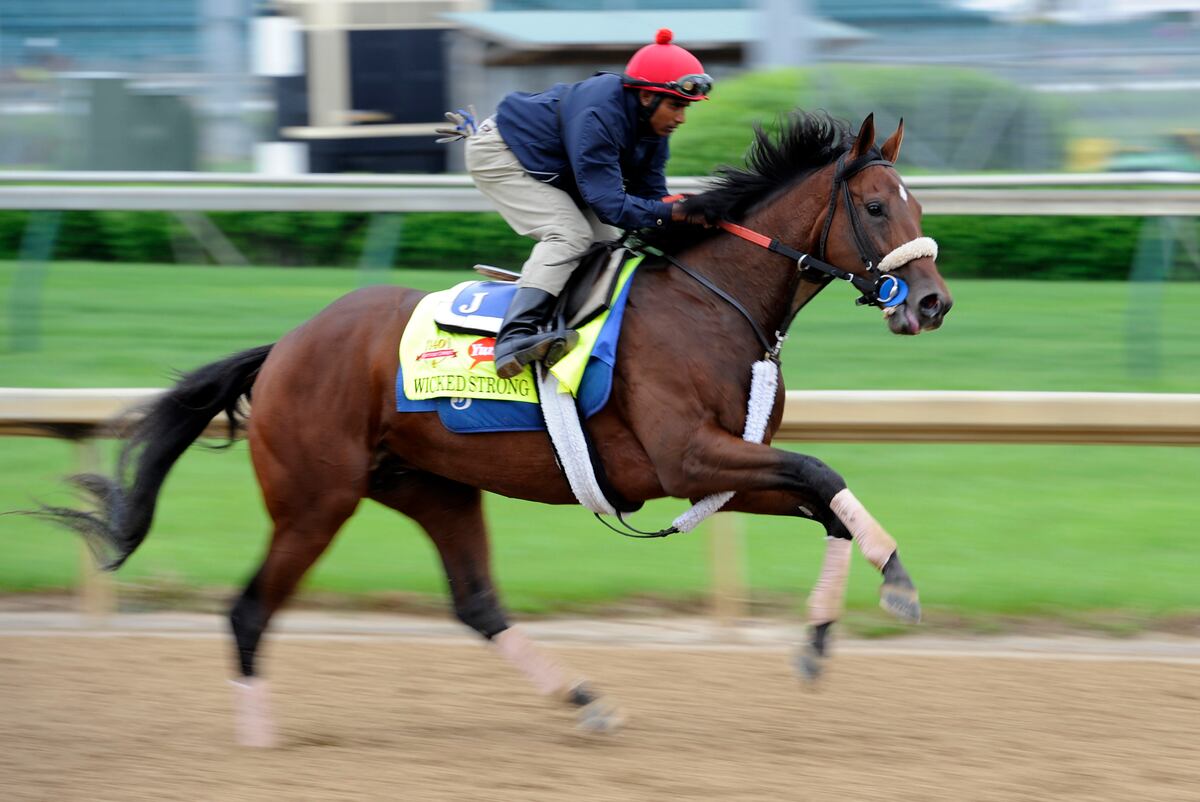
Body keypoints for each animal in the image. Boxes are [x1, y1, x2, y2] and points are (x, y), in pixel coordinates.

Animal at [37, 111, 952, 745]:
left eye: (916, 204)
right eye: (877, 206)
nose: (935, 301)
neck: (709, 301)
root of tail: (287, 345)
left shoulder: (725, 472)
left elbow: (824, 496)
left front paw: (824, 635)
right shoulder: (688, 460)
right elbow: (824, 477)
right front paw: (898, 583)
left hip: (430, 487)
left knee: (477, 603)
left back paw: (585, 700)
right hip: (314, 500)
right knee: (249, 611)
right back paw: (259, 737)